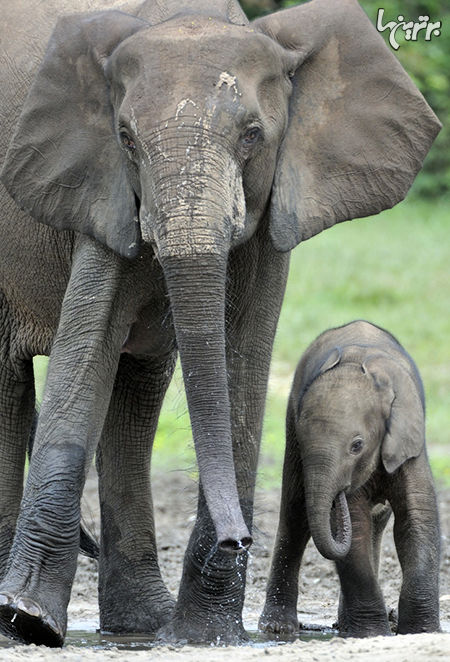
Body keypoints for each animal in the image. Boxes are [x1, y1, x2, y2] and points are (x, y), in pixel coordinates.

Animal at [260, 322, 440, 640]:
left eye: (357, 446)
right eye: (304, 445)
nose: (339, 493)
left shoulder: (408, 444)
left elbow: (417, 519)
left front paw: (421, 632)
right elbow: (354, 525)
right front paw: (372, 634)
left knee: (376, 523)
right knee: (295, 515)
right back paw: (278, 628)